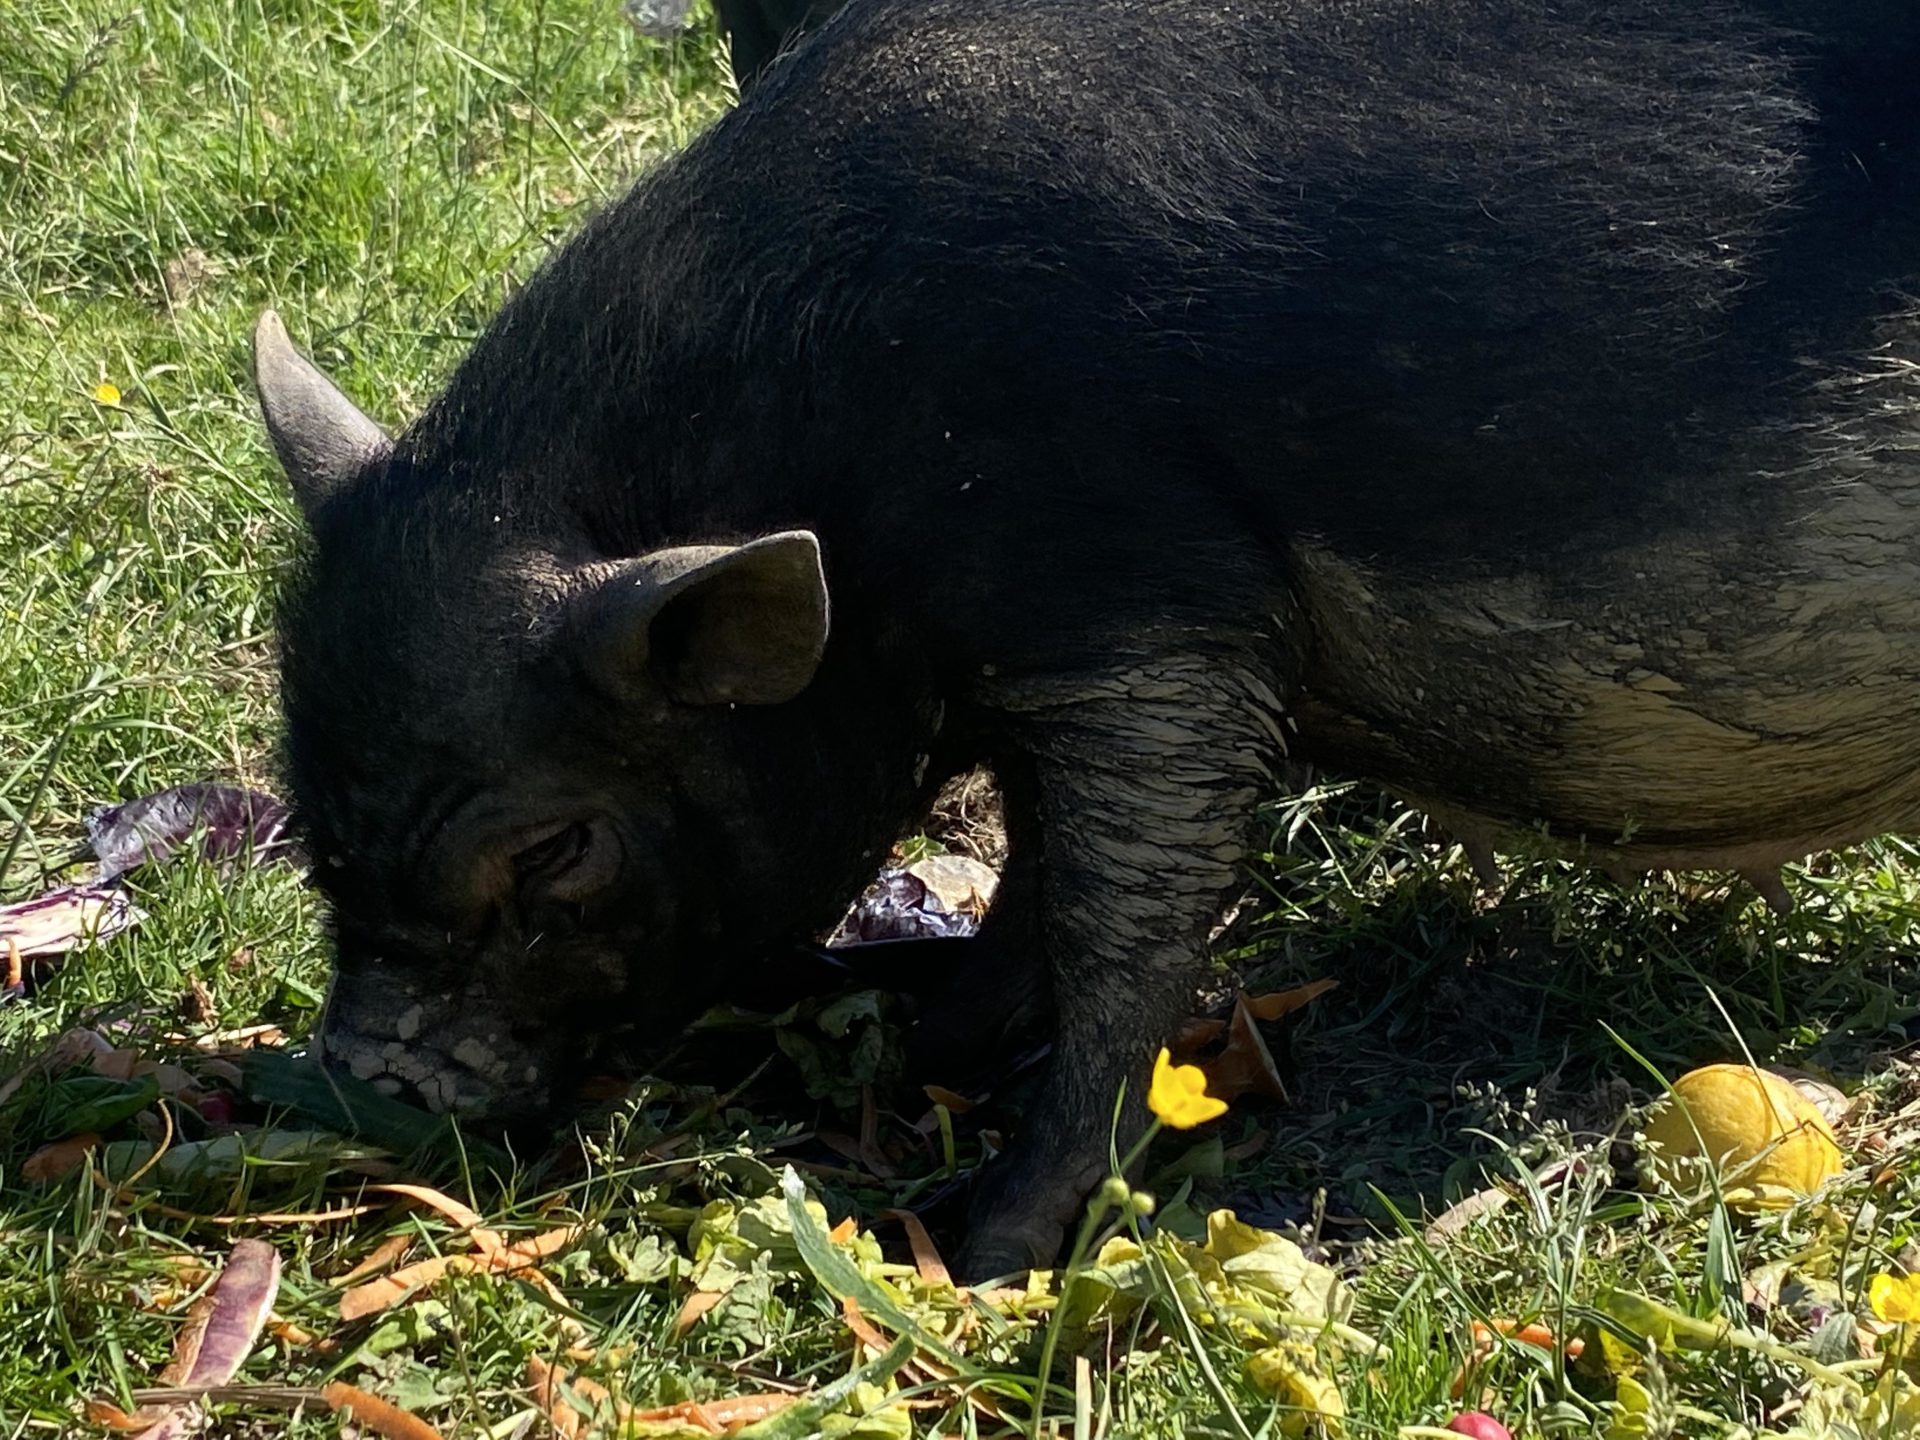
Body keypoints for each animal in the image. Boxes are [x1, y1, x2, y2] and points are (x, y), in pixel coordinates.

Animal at [259, 5, 1920, 1282]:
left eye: (550, 850)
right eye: (306, 802)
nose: (365, 1086)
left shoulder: (1140, 613)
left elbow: (1124, 921)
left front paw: (979, 1247)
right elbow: (1034, 874)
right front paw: (921, 1027)